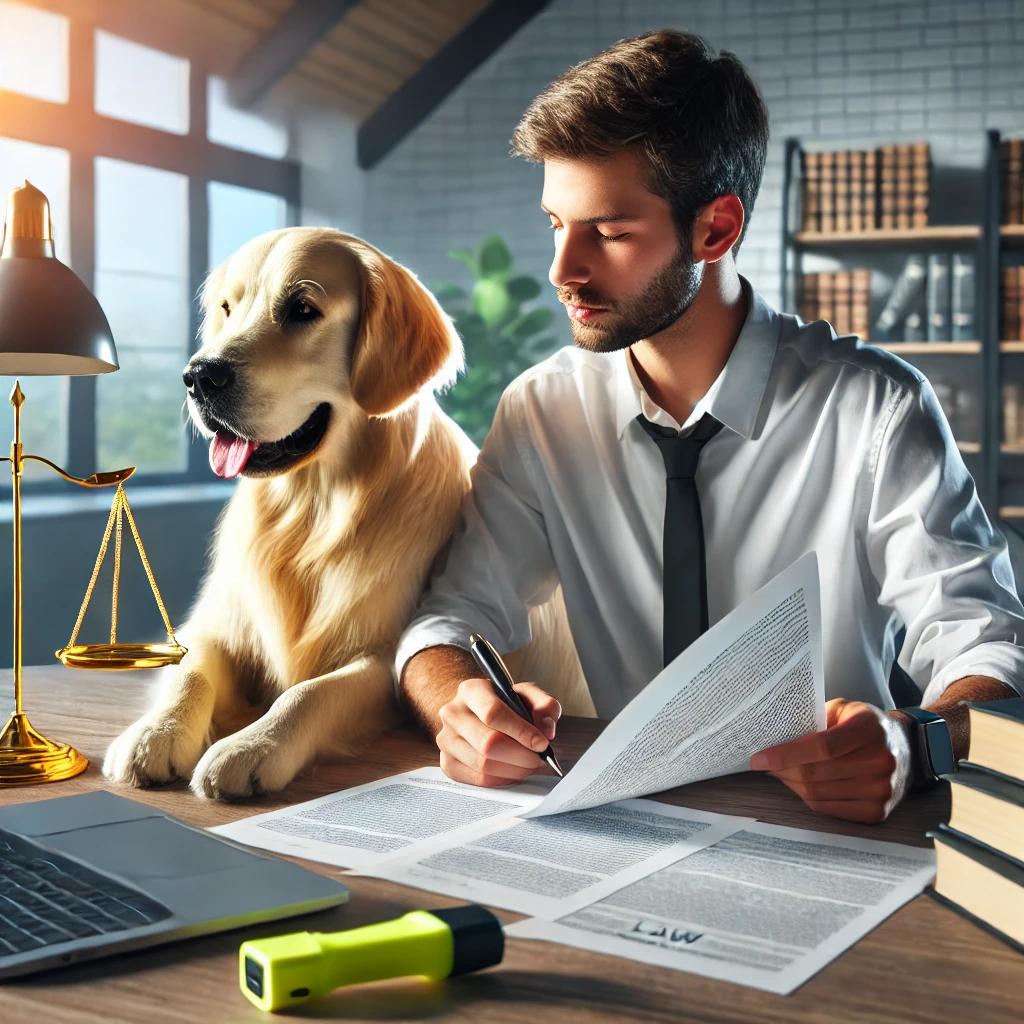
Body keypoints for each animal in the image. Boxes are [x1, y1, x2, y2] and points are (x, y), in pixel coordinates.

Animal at [101, 230, 593, 798]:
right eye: (227, 308)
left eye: (302, 309)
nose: (199, 376)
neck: (314, 508)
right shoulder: (216, 625)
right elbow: (190, 672)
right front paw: (154, 734)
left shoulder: (385, 660)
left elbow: (310, 691)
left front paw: (251, 747)